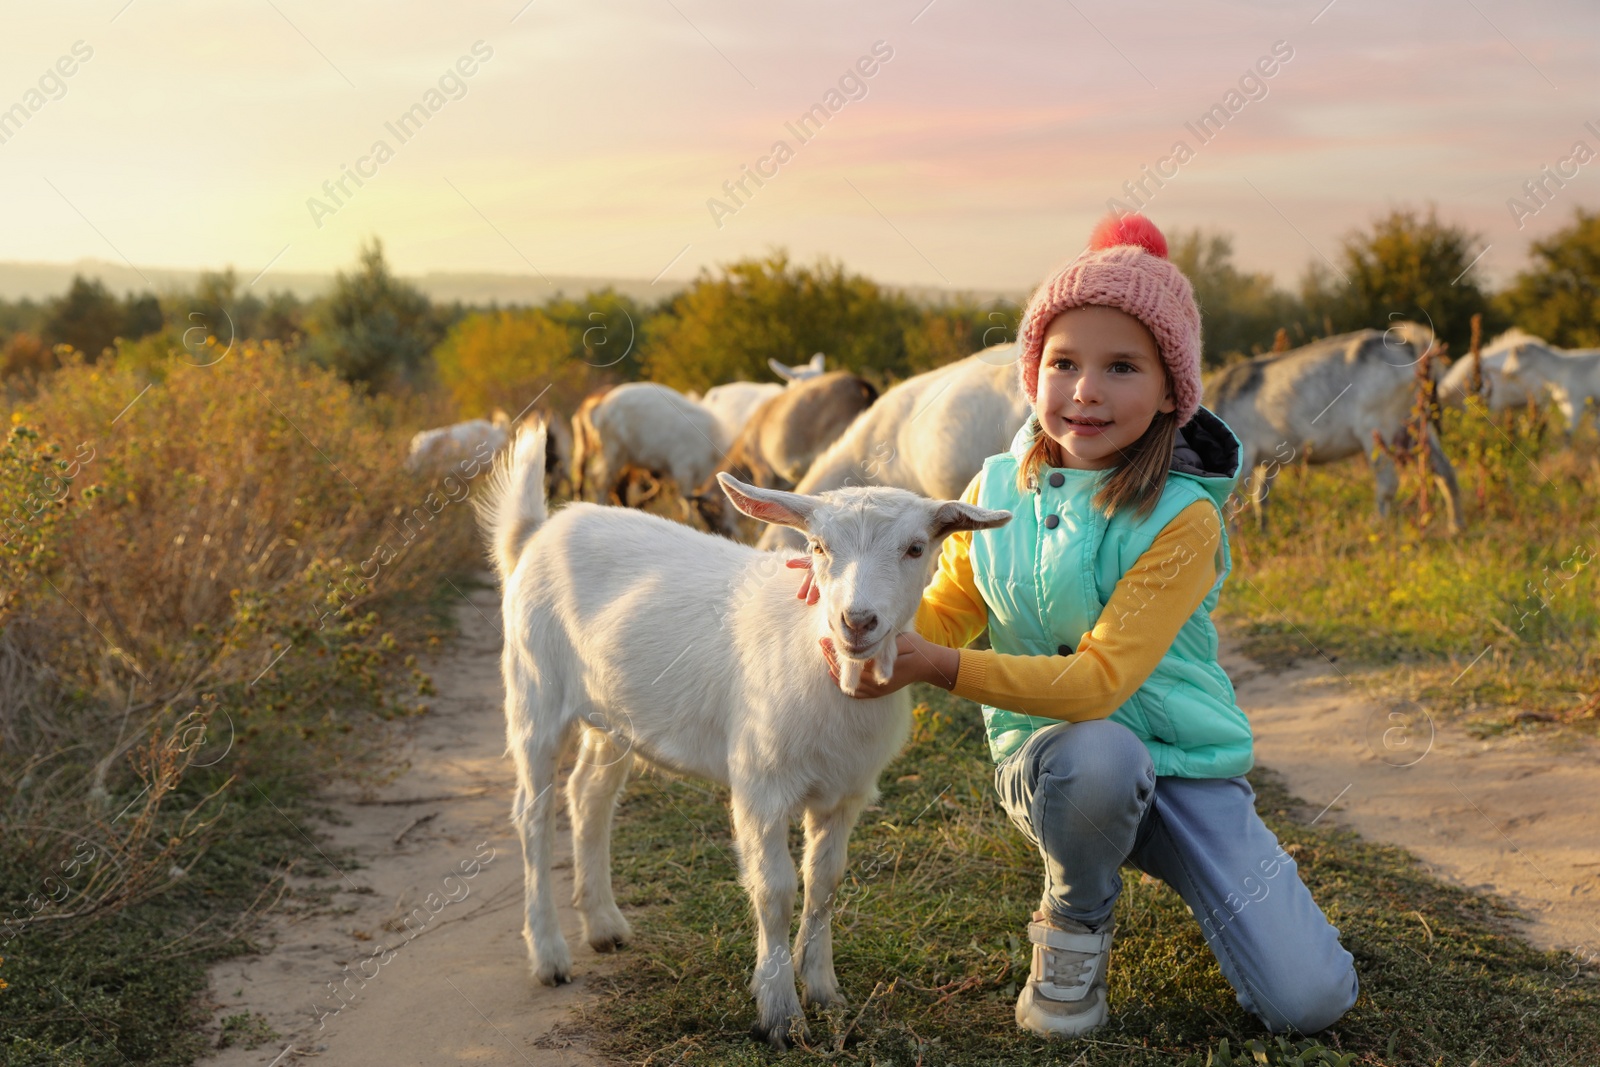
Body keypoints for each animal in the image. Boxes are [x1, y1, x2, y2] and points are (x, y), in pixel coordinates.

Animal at [467, 422, 1004, 1049]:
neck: (821, 661)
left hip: (613, 714)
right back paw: (550, 954)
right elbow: (775, 890)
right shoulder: (760, 786)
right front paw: (779, 1013)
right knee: (533, 814)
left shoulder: (845, 794)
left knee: (589, 797)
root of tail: (538, 534)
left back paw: (603, 924)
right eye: (818, 548)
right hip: (534, 690)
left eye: (916, 548)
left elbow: (824, 882)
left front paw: (824, 990)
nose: (857, 621)